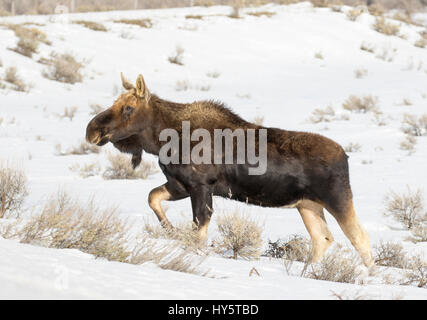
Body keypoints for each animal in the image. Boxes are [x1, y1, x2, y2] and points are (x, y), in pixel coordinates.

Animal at [86, 74, 374, 266]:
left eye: (128, 107)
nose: (92, 130)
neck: (162, 140)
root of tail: (345, 155)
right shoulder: (179, 185)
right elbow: (152, 197)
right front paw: (171, 231)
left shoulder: (200, 187)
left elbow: (199, 229)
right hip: (307, 205)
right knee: (323, 238)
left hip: (337, 198)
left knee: (360, 238)